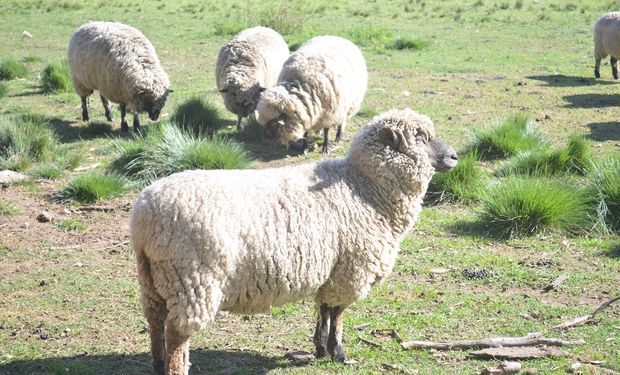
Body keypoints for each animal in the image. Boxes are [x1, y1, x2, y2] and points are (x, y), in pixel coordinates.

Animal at [131, 108, 458, 375]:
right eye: (420, 137)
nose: (455, 156)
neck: (363, 186)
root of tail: (145, 216)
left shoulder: (332, 270)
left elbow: (324, 309)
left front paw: (321, 348)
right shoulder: (351, 269)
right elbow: (338, 313)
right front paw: (338, 352)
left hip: (153, 278)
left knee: (155, 319)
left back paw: (157, 363)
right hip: (192, 279)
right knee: (177, 332)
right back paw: (174, 366)